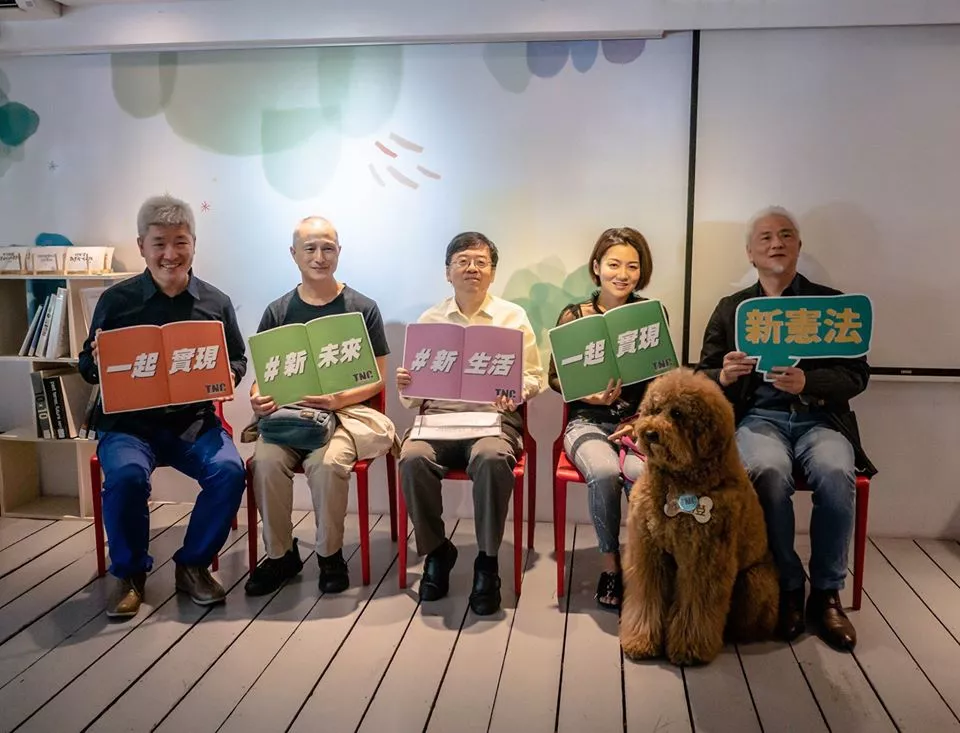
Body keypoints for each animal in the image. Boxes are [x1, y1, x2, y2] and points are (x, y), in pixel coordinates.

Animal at [617, 368, 778, 666]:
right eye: (654, 408)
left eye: (678, 413)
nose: (649, 432)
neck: (675, 483)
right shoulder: (649, 553)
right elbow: (646, 599)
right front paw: (641, 641)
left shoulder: (705, 560)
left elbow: (696, 607)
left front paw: (689, 649)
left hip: (755, 581)